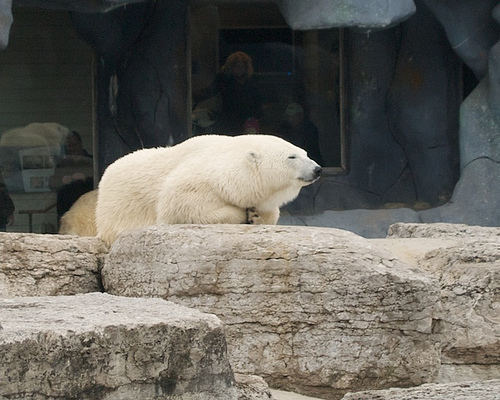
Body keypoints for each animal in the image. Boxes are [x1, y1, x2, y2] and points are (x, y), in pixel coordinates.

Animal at [95, 134, 322, 245]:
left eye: (305, 152)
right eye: (292, 156)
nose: (317, 169)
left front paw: (256, 215)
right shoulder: (199, 181)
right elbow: (181, 207)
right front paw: (242, 214)